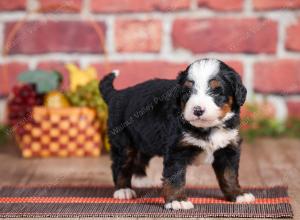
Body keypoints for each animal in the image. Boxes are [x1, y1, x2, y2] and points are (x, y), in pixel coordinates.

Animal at [99, 58, 254, 210]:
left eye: (216, 91)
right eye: (187, 92)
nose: (197, 110)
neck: (207, 128)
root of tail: (117, 94)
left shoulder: (228, 148)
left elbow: (229, 175)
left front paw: (238, 194)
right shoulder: (176, 150)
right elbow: (175, 179)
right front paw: (177, 201)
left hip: (144, 138)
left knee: (140, 158)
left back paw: (141, 180)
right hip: (123, 142)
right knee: (121, 165)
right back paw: (123, 190)